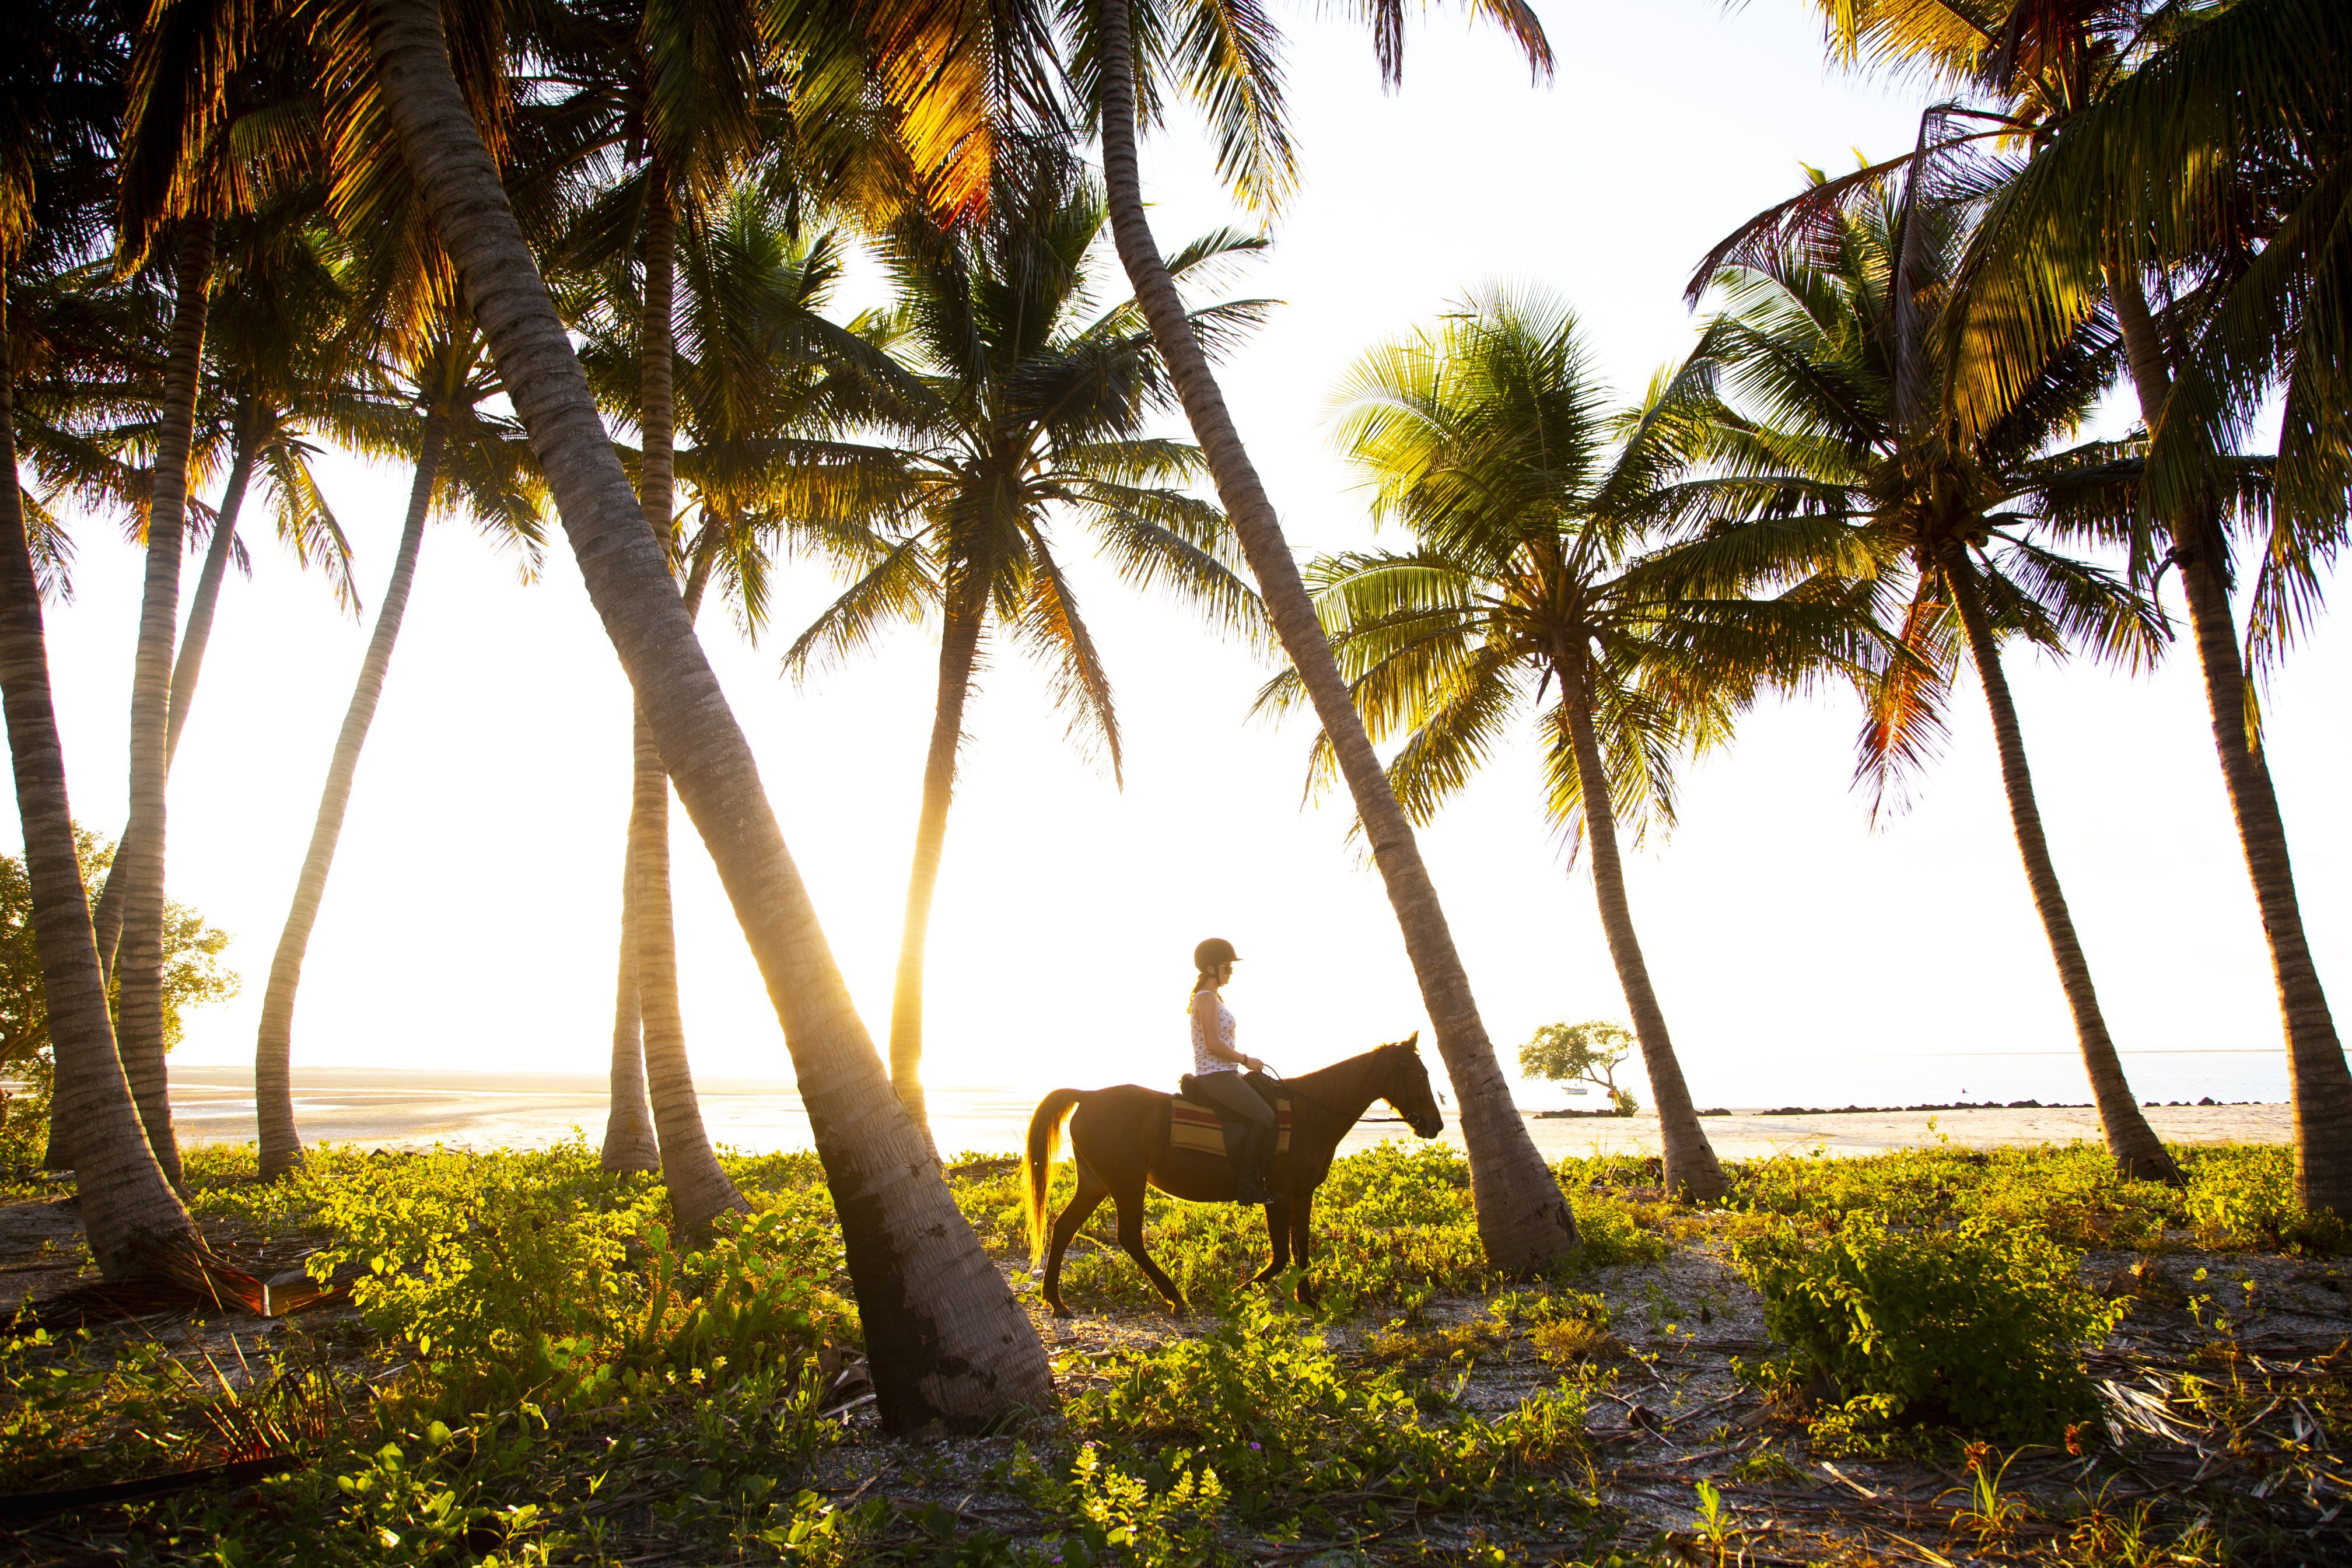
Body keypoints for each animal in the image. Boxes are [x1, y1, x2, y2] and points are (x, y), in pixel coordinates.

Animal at [1020, 1034, 1439, 1316]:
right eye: (1419, 1074)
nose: (1434, 1125)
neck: (1311, 1113)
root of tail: (1089, 1096)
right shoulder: (1278, 1196)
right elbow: (1282, 1256)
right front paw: (1240, 1291)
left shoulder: (1302, 1195)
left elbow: (1302, 1249)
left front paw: (1309, 1300)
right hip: (1126, 1183)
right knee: (1129, 1237)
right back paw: (1175, 1298)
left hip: (1096, 1182)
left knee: (1063, 1227)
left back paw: (1056, 1300)